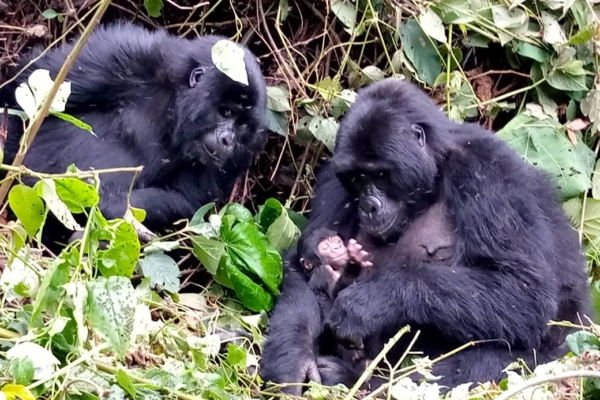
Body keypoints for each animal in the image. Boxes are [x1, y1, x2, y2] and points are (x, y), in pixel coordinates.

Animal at [0, 21, 268, 247]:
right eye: (225, 111)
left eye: (242, 125)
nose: (228, 140)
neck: (174, 107)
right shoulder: (123, 53)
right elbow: (26, 91)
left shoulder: (245, 152)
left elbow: (185, 204)